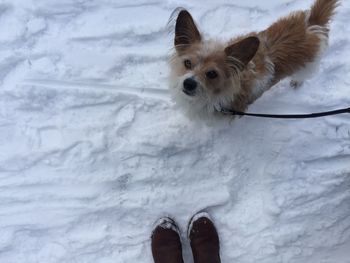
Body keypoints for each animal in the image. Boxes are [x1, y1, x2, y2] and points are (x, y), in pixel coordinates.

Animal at [169, 0, 340, 120]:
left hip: (309, 65)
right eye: (187, 63)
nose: (188, 83)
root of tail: (311, 23)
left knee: (303, 75)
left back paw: (296, 82)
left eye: (212, 73)